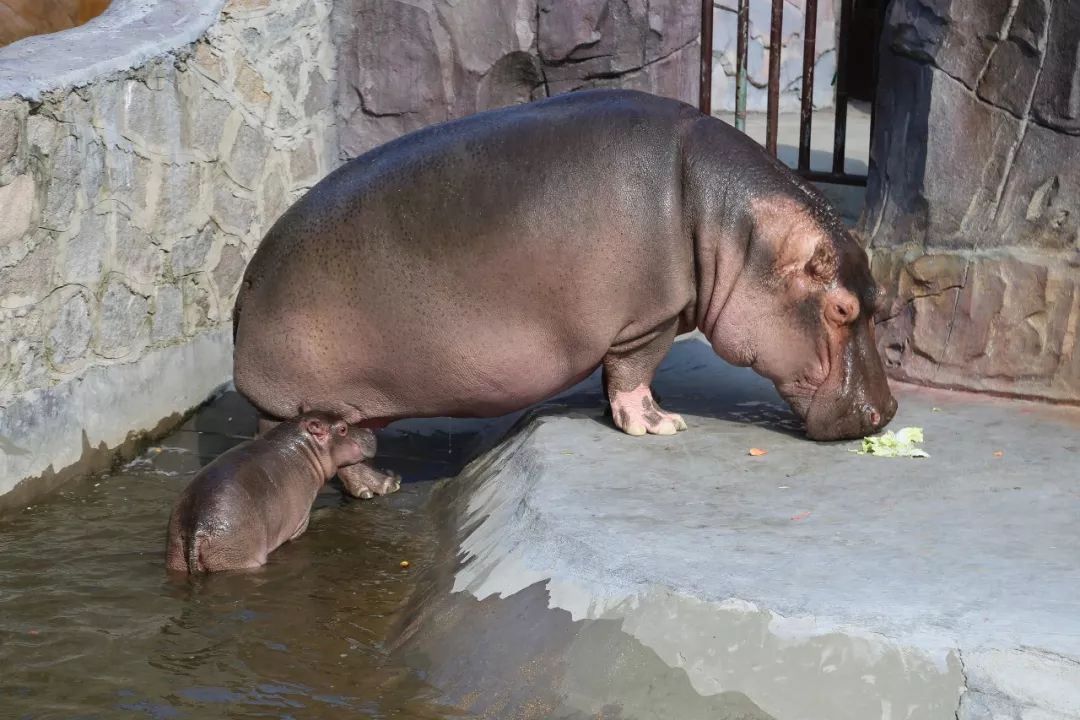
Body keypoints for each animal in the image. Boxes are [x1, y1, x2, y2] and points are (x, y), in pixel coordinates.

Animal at [164, 410, 373, 574]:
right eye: (343, 428)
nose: (370, 431)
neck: (306, 449)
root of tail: (196, 526)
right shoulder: (300, 521)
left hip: (177, 556)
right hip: (239, 557)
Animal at [232, 88, 898, 496]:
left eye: (879, 298)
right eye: (841, 308)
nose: (888, 412)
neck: (731, 223)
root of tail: (242, 292)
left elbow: (621, 375)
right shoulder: (649, 319)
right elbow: (635, 370)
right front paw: (659, 424)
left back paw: (381, 485)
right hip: (302, 406)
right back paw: (374, 488)